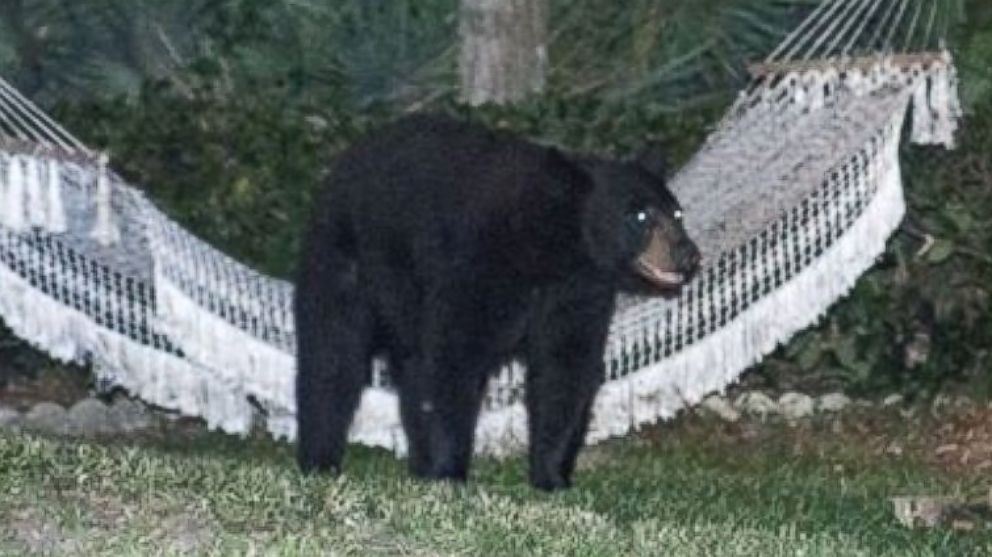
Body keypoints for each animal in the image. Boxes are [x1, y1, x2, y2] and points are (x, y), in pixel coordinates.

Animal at [294, 113, 696, 486]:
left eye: (677, 213)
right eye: (640, 216)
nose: (688, 255)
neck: (551, 249)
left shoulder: (577, 295)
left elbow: (565, 369)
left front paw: (551, 477)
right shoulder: (475, 268)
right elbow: (453, 361)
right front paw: (448, 473)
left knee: (409, 370)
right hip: (347, 262)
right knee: (332, 356)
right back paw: (320, 460)